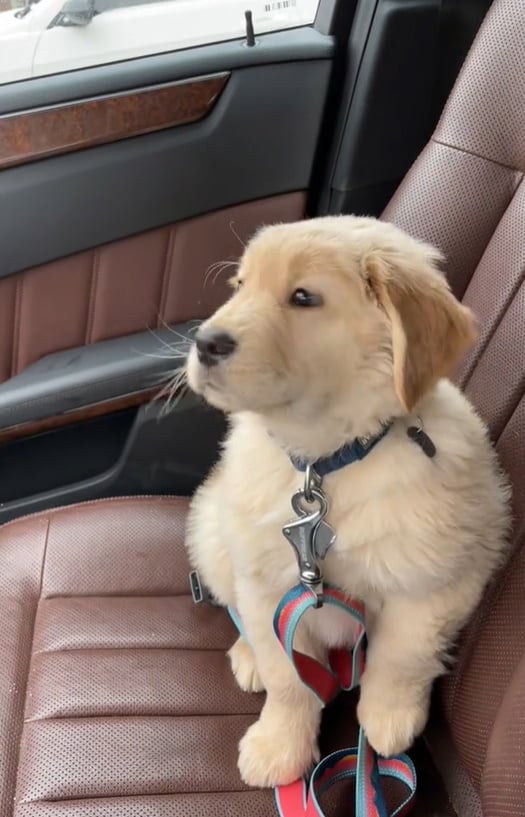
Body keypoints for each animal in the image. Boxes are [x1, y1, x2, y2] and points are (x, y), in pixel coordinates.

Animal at [183, 214, 508, 788]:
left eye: (303, 297)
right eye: (240, 286)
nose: (204, 342)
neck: (327, 464)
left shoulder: (440, 582)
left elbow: (403, 656)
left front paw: (388, 720)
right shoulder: (270, 588)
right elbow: (287, 675)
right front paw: (280, 745)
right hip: (212, 531)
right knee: (234, 607)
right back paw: (247, 655)